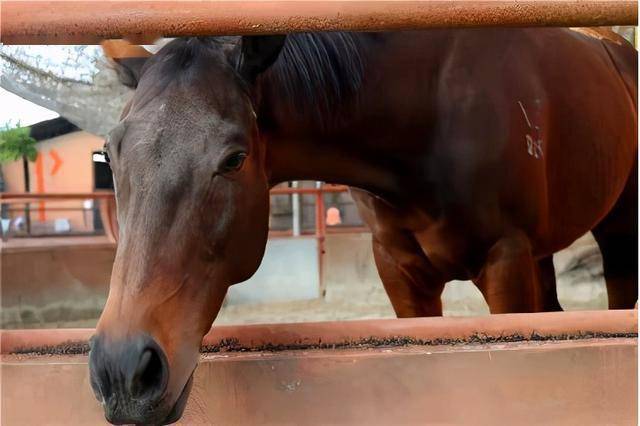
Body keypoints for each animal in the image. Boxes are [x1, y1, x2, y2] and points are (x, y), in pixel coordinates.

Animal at [89, 28, 636, 424]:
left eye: (234, 158)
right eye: (110, 156)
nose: (122, 368)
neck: (431, 108)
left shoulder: (505, 261)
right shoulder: (398, 267)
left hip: (615, 235)